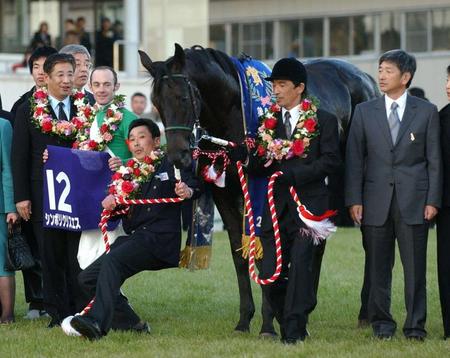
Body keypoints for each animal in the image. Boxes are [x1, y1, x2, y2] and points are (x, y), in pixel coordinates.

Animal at [138, 43, 380, 334]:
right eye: (157, 104)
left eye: (183, 98)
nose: (178, 157)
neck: (234, 113)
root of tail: (366, 81)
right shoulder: (223, 194)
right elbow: (239, 253)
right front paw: (245, 319)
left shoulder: (262, 191)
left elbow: (265, 249)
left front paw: (267, 323)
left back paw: (364, 313)